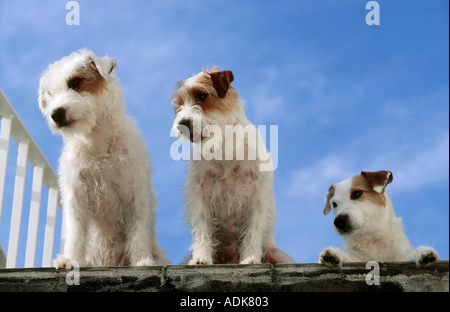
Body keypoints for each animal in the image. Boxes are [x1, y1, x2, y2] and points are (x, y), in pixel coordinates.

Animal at [37, 49, 169, 268]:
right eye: (49, 94)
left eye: (76, 81)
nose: (56, 114)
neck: (97, 144)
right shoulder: (76, 197)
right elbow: (76, 233)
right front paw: (70, 259)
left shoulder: (136, 194)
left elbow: (139, 231)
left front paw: (142, 261)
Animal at [171, 67, 294, 264]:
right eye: (179, 105)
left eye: (201, 96)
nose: (181, 124)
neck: (223, 146)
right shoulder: (200, 193)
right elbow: (203, 227)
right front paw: (202, 258)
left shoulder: (257, 194)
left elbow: (252, 230)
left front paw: (250, 259)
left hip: (278, 255)